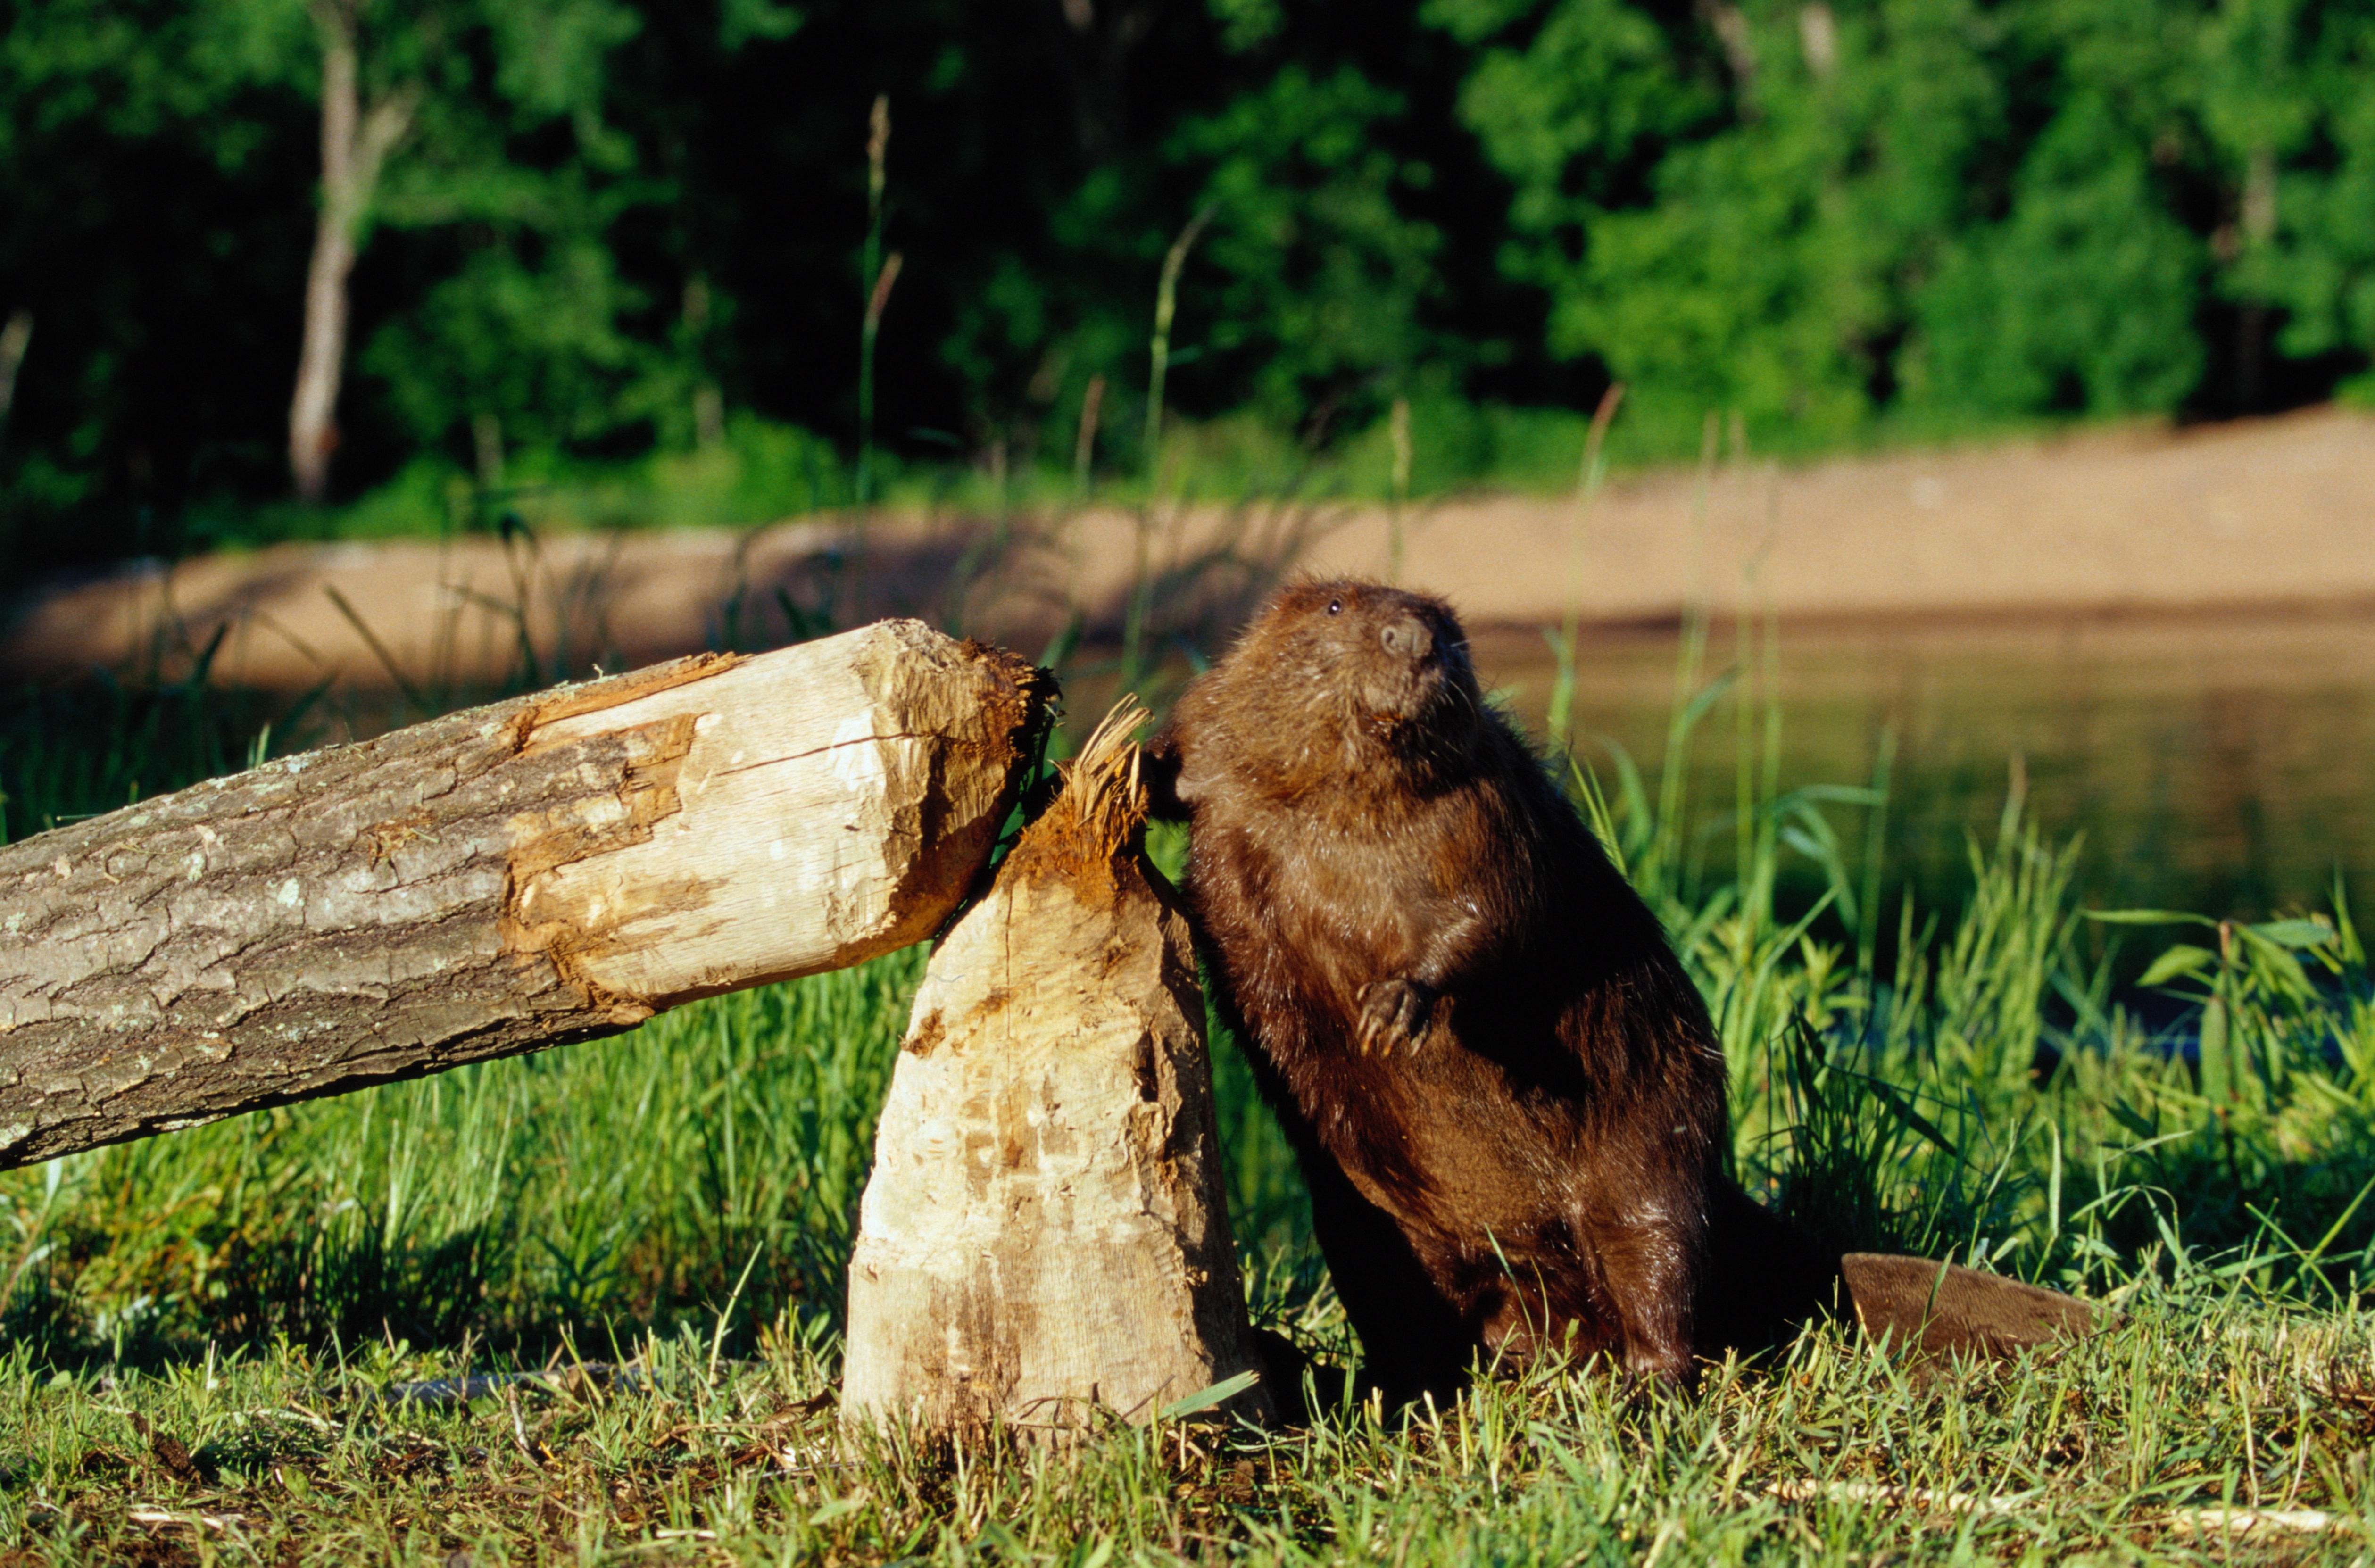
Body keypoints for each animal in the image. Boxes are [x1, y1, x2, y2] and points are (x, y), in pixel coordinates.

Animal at [1145, 572, 1833, 1397]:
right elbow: (1188, 759)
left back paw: (1647, 1386)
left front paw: (1393, 1007)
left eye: (1447, 625)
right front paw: (1118, 767)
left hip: (1651, 1145)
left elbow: (1501, 910)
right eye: (1337, 607)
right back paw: (1382, 1382)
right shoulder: (1222, 748)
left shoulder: (1489, 808)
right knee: (1406, 1316)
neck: (1339, 803)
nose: (1412, 638)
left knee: (1660, 1261)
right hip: (1360, 1226)